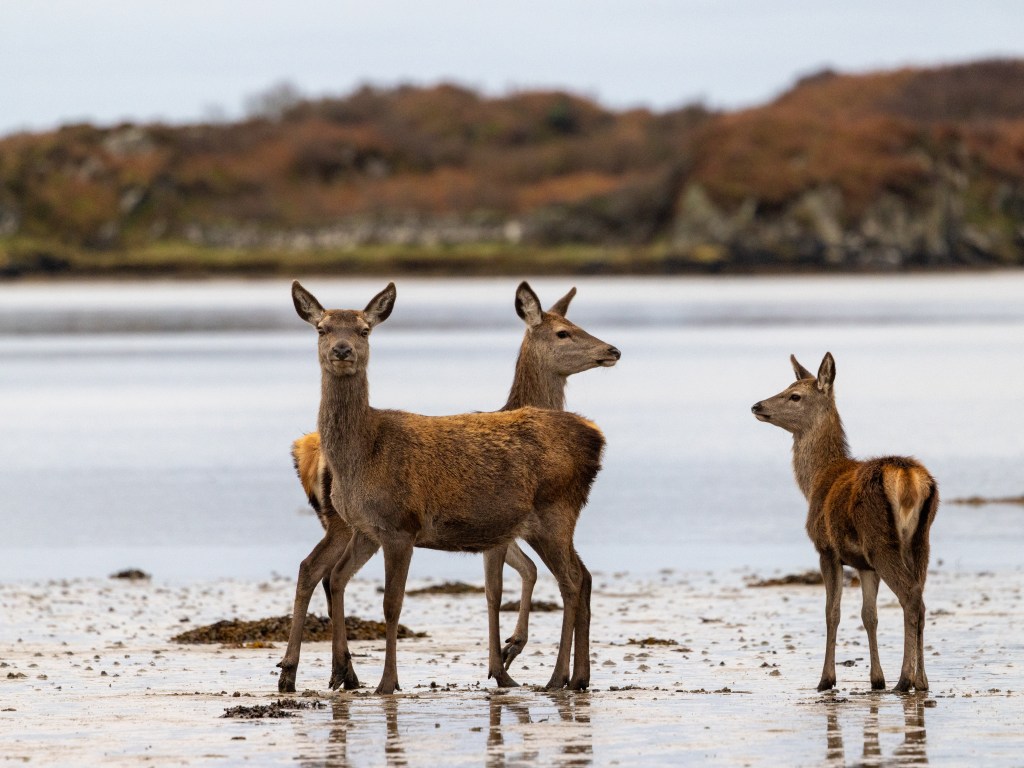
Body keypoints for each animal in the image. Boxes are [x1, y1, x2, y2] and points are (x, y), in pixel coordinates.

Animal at [278, 282, 620, 693]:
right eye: (322, 328)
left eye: (364, 330)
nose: (342, 350)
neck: (363, 451)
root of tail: (596, 438)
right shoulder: (371, 529)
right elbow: (364, 588)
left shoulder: (401, 526)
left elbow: (397, 603)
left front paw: (389, 682)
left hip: (555, 513)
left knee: (573, 580)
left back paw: (560, 678)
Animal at [751, 352, 939, 692]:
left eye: (794, 395)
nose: (757, 405)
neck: (816, 480)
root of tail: (908, 477)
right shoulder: (864, 564)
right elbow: (869, 615)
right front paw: (876, 679)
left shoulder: (826, 549)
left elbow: (832, 612)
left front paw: (826, 679)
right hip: (921, 540)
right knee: (920, 598)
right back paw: (921, 681)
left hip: (881, 540)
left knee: (909, 598)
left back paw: (904, 680)